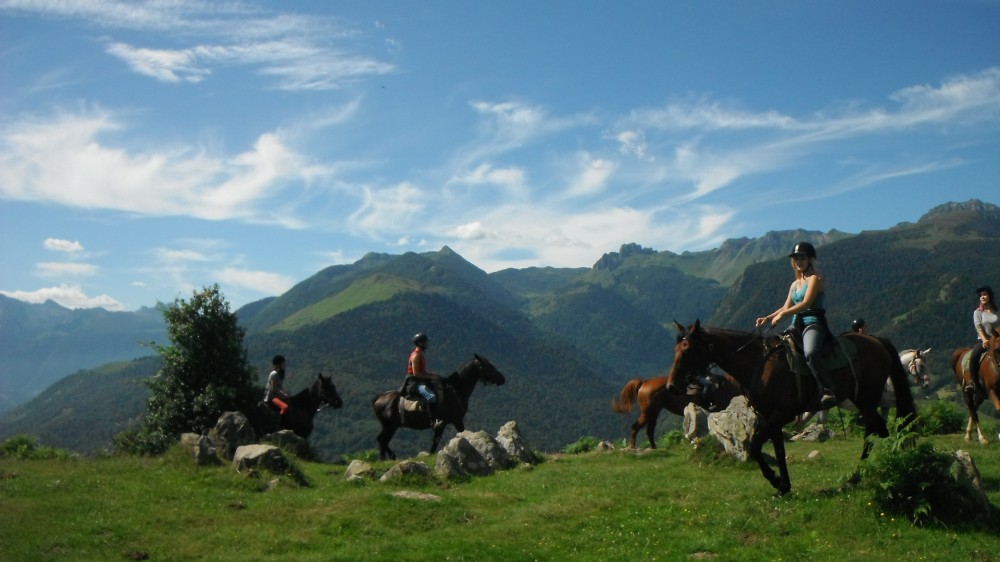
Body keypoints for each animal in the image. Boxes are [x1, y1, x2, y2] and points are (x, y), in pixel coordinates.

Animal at [372, 354, 504, 460]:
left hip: (387, 426)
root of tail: (379, 398)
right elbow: (458, 434)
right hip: (391, 427)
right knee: (383, 441)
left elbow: (438, 440)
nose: (502, 378)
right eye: (487, 366)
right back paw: (389, 456)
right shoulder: (455, 420)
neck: (456, 390)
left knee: (380, 439)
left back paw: (384, 458)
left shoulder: (445, 424)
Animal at [608, 370, 744, 448]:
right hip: (647, 412)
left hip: (654, 413)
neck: (729, 386)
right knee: (635, 426)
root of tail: (645, 382)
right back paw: (632, 447)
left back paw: (654, 449)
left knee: (649, 431)